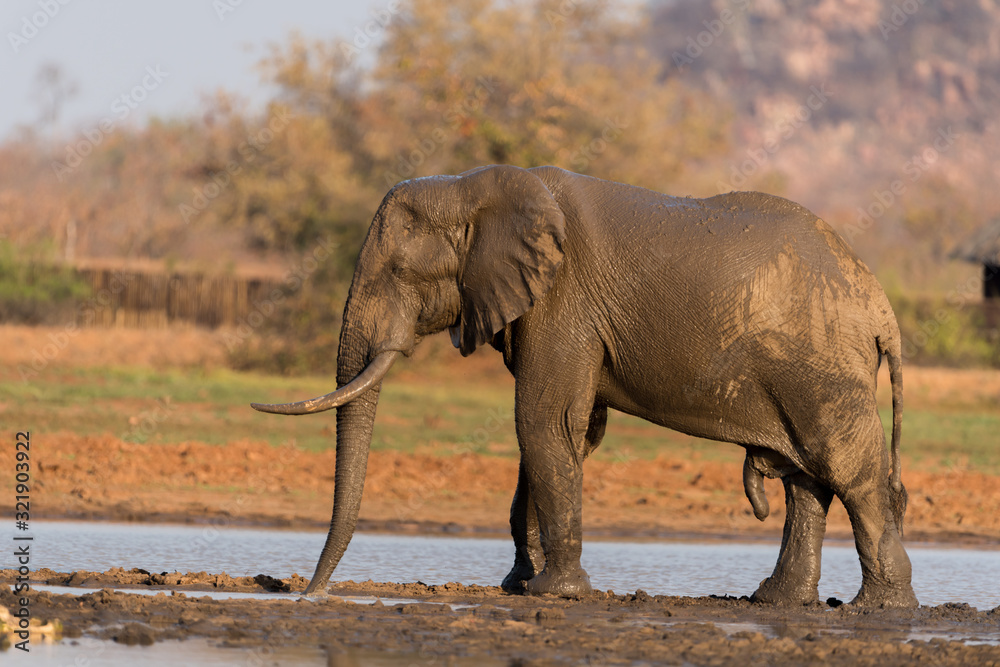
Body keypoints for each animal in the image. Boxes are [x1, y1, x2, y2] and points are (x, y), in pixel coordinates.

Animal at [251, 164, 918, 608]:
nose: (306, 595)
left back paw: (879, 608)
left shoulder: (562, 301)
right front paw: (521, 585)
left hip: (822, 367)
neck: (476, 187)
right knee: (808, 479)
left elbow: (543, 420)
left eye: (396, 271)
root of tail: (880, 307)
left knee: (849, 470)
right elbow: (561, 433)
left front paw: (554, 593)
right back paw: (776, 602)